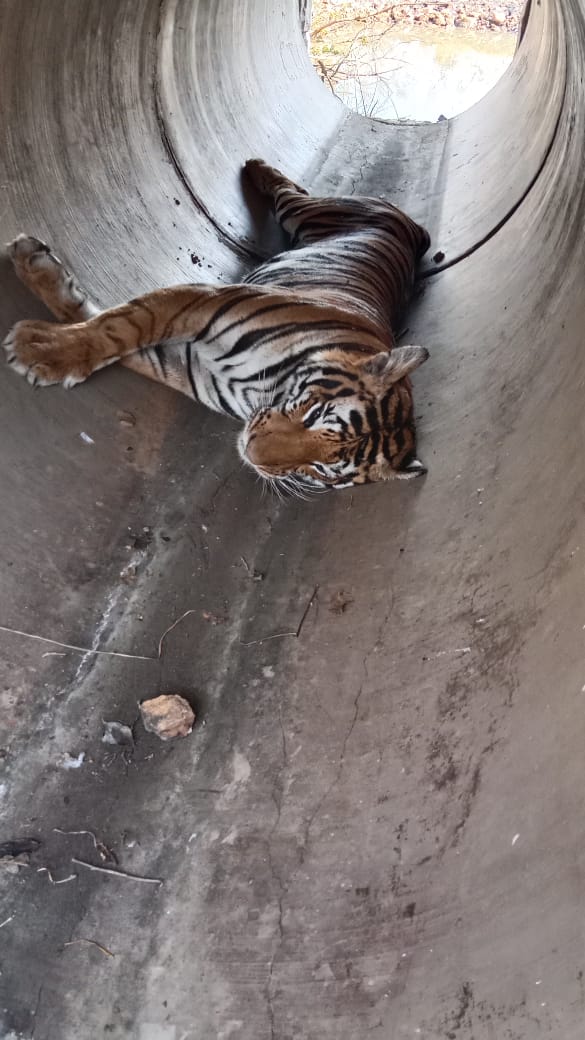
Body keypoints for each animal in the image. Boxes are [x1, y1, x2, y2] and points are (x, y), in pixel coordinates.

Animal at [3, 158, 431, 490]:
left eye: (323, 470)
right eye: (314, 415)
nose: (253, 453)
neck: (258, 390)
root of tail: (415, 228)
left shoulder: (185, 365)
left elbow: (109, 328)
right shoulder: (201, 301)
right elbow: (120, 325)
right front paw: (42, 342)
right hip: (309, 210)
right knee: (288, 189)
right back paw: (254, 166)